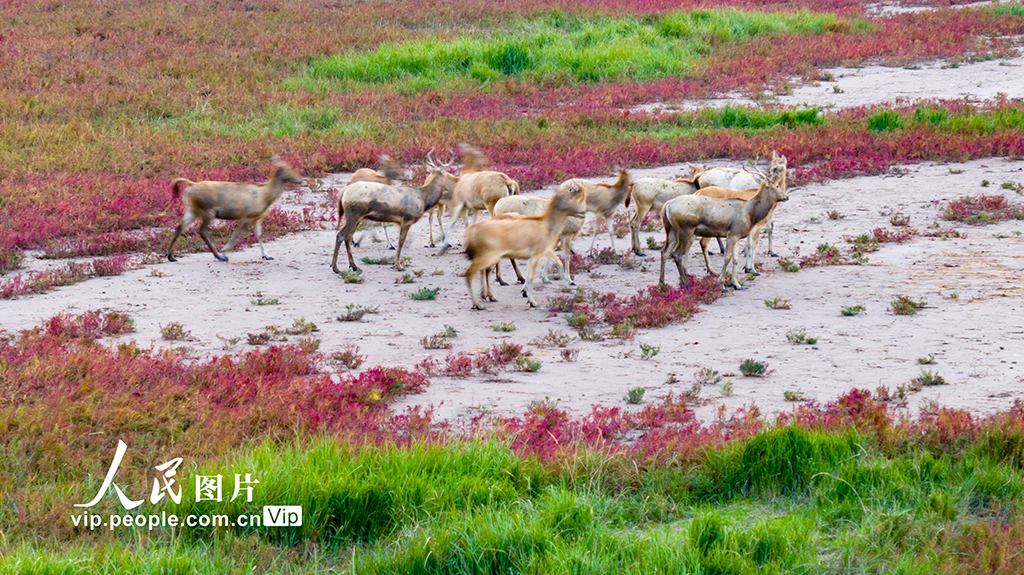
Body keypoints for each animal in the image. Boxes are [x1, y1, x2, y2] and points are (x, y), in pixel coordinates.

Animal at [166, 157, 303, 263]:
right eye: (288, 169)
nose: (300, 179)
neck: (265, 196)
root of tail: (191, 186)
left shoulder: (256, 217)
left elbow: (259, 235)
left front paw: (267, 255)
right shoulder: (246, 215)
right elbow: (236, 234)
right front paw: (225, 252)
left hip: (192, 210)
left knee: (180, 227)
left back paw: (171, 256)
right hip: (207, 210)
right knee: (202, 231)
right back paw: (219, 256)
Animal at [463, 182, 586, 310]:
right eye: (570, 191)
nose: (582, 212)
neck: (545, 223)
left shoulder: (545, 249)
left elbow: (555, 262)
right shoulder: (560, 240)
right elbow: (563, 258)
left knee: (483, 270)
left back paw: (487, 294)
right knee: (478, 271)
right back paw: (484, 299)